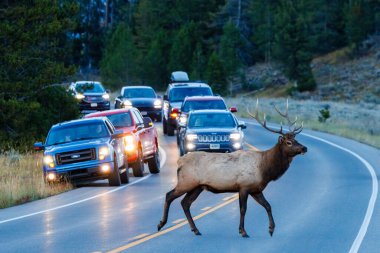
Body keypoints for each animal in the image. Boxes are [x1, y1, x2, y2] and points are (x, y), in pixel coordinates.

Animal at [157, 100, 308, 237]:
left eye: (296, 140)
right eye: (288, 142)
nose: (304, 148)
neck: (265, 170)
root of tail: (180, 161)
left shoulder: (256, 189)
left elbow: (268, 206)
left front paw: (271, 229)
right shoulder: (244, 186)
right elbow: (243, 209)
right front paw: (243, 231)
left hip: (197, 186)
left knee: (185, 203)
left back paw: (195, 229)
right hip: (186, 181)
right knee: (169, 195)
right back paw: (161, 224)